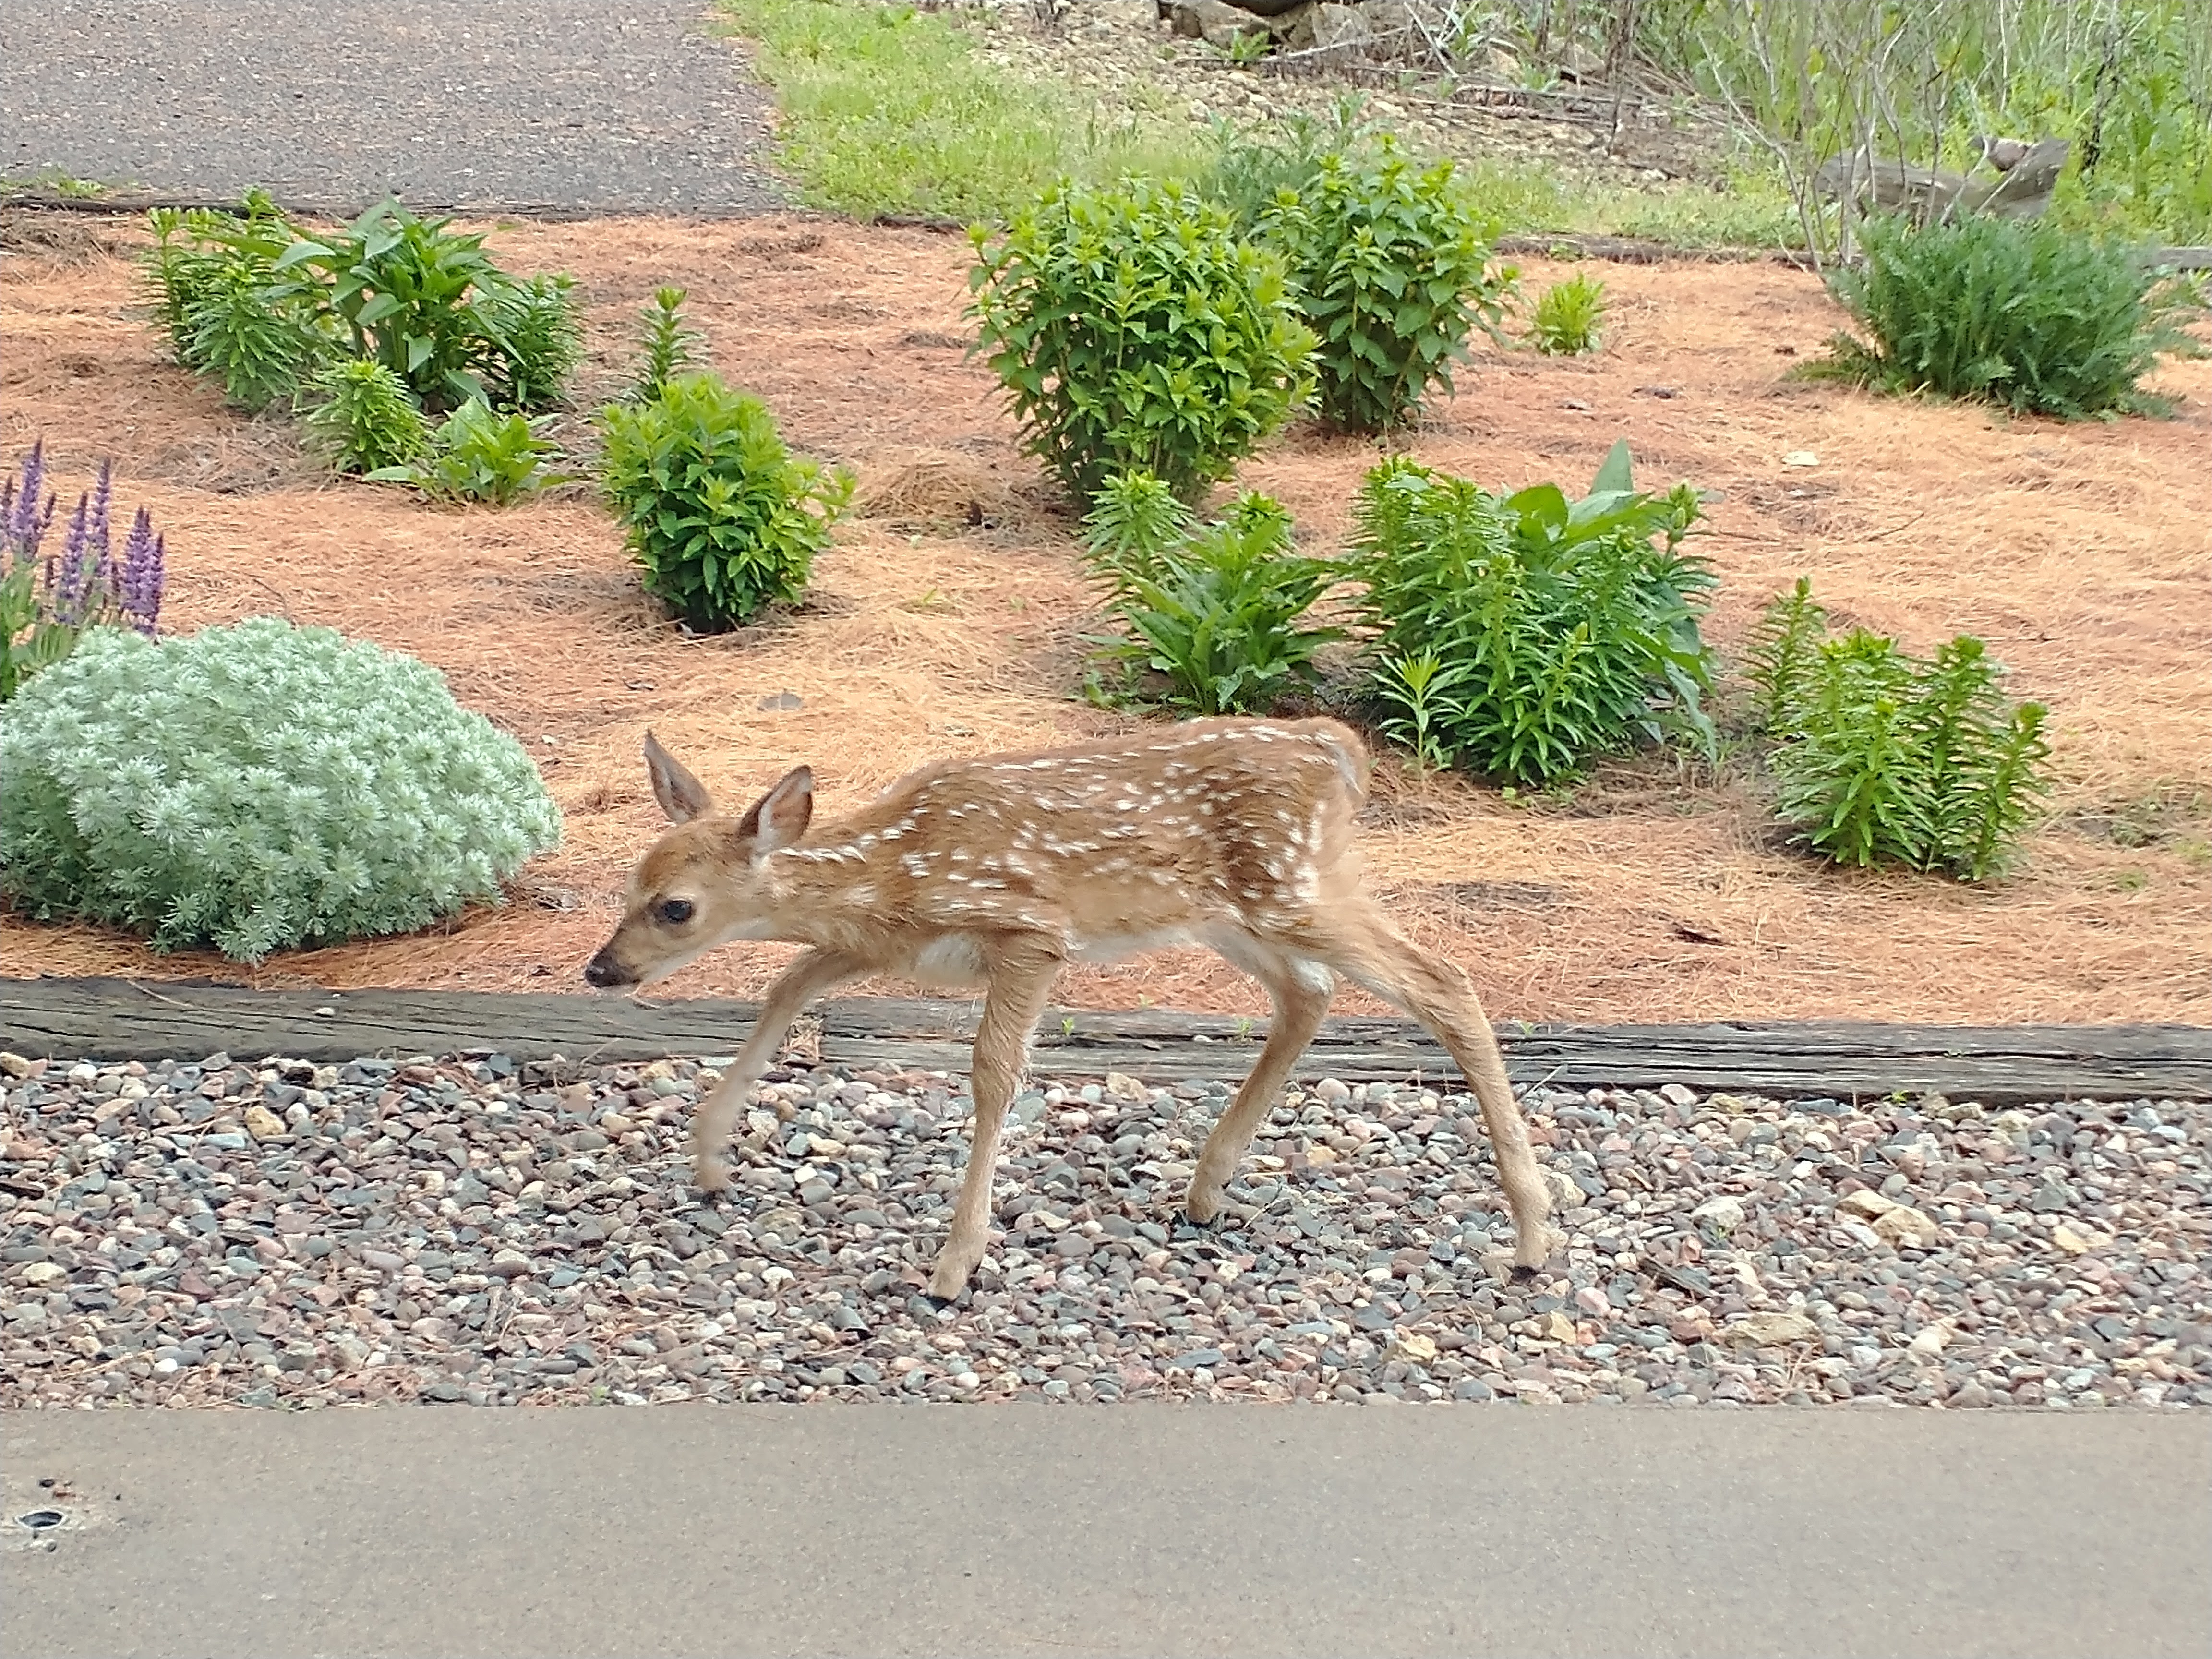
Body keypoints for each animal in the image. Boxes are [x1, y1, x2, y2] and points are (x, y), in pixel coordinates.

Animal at [584, 717, 1559, 1302]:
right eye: (628, 883)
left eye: (676, 908)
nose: (601, 969)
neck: (894, 874)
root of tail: (1338, 751)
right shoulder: (875, 948)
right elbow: (781, 992)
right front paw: (711, 1159)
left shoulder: (1029, 934)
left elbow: (992, 1076)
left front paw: (955, 1263)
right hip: (1230, 911)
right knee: (1308, 994)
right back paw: (1206, 1190)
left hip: (1290, 887)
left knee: (1442, 982)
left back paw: (1531, 1236)